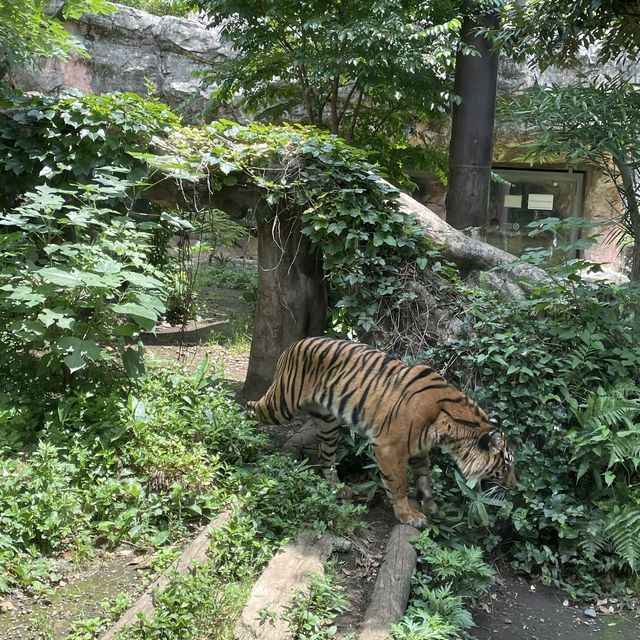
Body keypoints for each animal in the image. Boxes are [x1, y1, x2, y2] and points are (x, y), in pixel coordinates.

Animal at [248, 338, 516, 528]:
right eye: (506, 465)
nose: (513, 487)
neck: (451, 428)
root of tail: (294, 343)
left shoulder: (419, 448)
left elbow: (424, 477)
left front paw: (429, 504)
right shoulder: (390, 447)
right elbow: (397, 484)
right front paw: (409, 515)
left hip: (328, 423)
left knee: (327, 458)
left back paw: (339, 488)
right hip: (282, 403)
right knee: (253, 407)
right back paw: (246, 431)